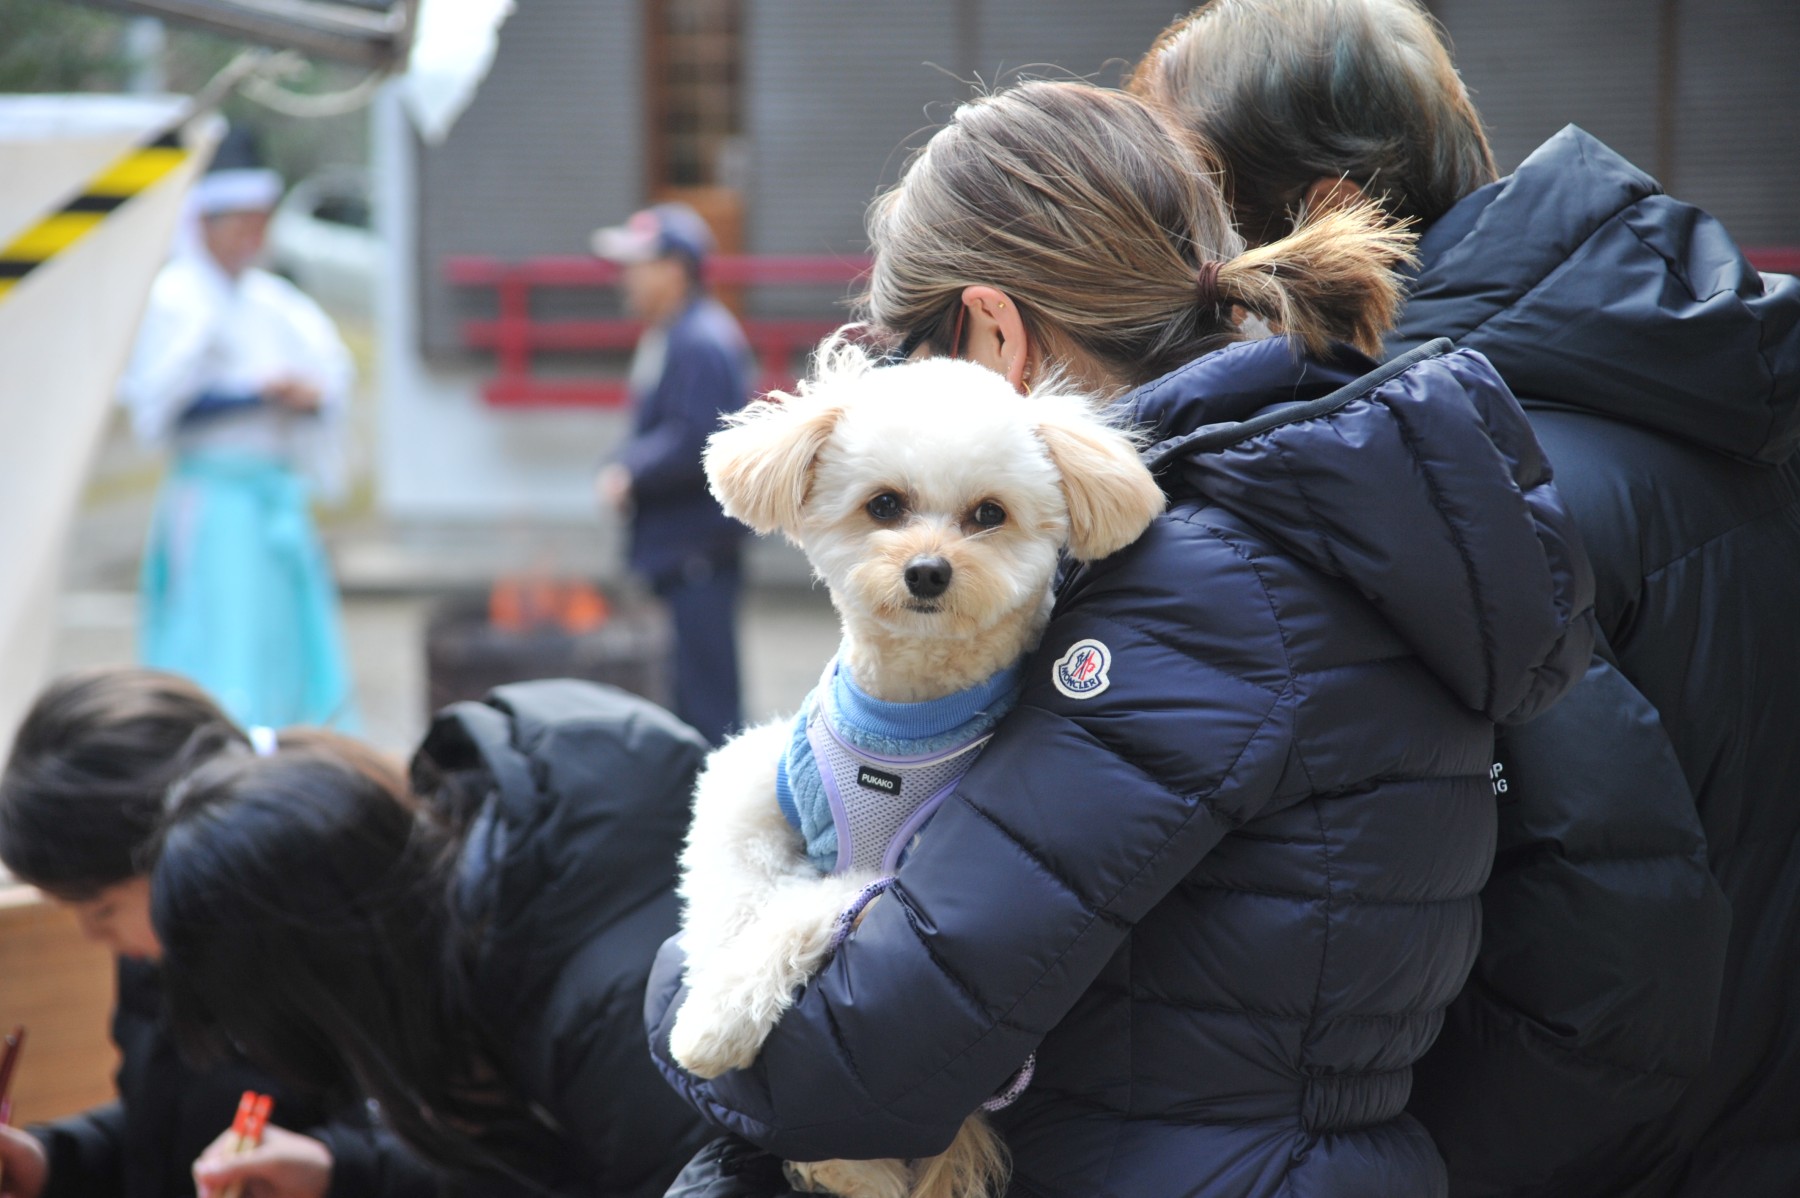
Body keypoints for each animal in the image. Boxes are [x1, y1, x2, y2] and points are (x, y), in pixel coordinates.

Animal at [669, 339, 1165, 1198]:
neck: (903, 718)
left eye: (988, 514)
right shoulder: (757, 773)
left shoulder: (887, 886)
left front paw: (715, 1023)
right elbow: (728, 885)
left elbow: (797, 911)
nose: (929, 571)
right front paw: (708, 976)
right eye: (885, 506)